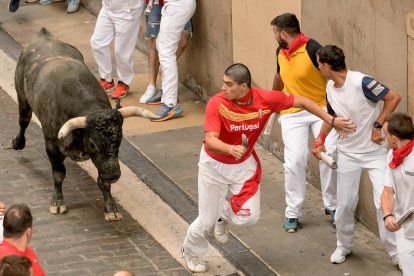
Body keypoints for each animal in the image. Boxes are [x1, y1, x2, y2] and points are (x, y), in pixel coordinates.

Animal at [12, 28, 158, 221]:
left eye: (119, 140)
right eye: (93, 144)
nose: (114, 175)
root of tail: (43, 35)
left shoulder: (104, 160)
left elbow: (102, 181)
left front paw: (111, 208)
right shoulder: (51, 144)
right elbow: (58, 174)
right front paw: (57, 202)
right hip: (22, 98)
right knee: (23, 120)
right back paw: (18, 143)